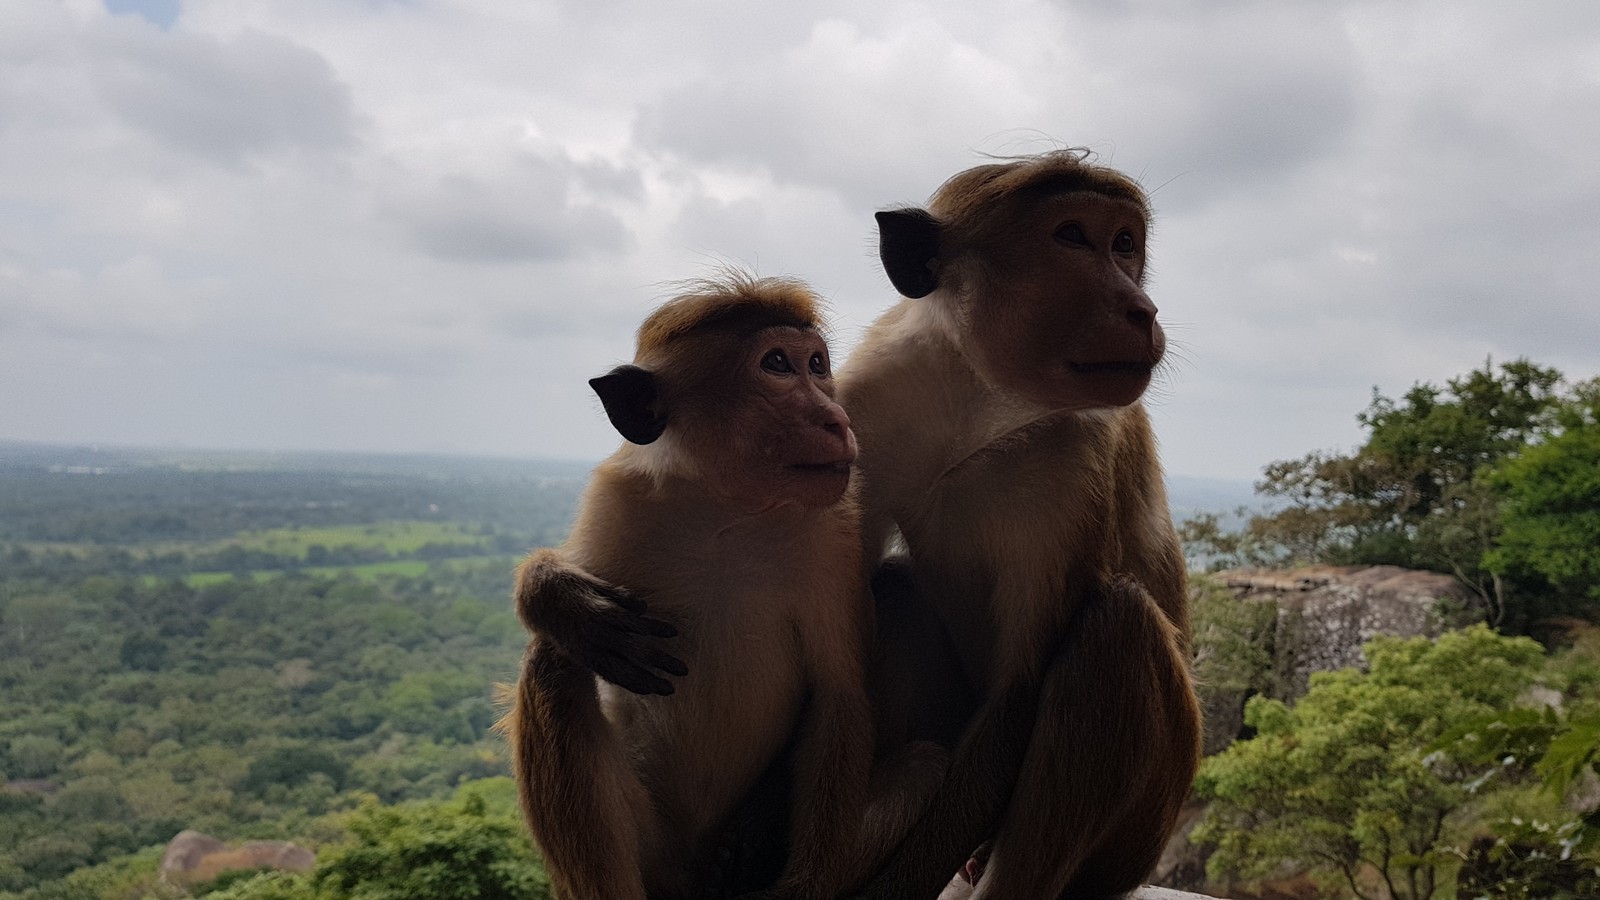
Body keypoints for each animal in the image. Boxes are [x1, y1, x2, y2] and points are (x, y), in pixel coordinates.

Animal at [502, 272, 934, 896]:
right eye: (777, 364)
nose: (837, 419)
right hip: (654, 853)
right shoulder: (616, 500)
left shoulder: (830, 537)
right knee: (555, 664)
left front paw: (797, 885)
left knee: (925, 766)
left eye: (818, 364)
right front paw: (559, 597)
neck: (726, 510)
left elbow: (840, 693)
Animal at [844, 150, 1203, 890]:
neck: (982, 398)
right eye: (1072, 237)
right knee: (893, 591)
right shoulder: (862, 408)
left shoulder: (1078, 451)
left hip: (1142, 833)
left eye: (1125, 244)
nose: (1142, 308)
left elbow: (1021, 687)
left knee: (1113, 632)